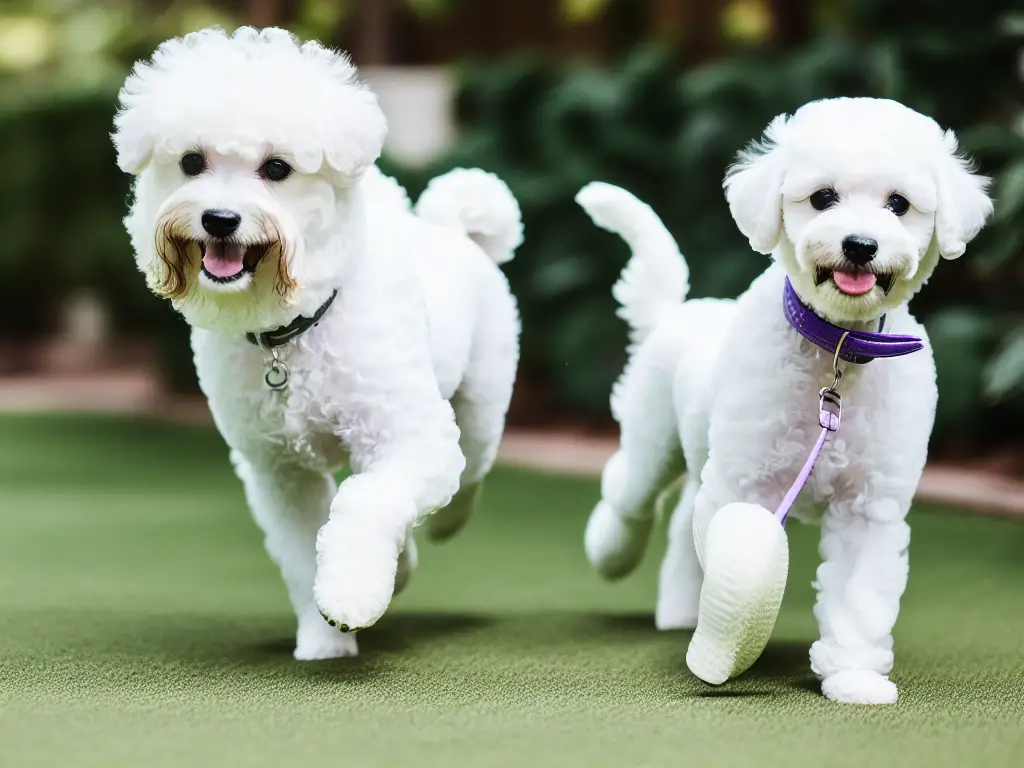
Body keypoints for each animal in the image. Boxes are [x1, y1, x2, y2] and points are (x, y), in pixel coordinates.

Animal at [114, 27, 520, 659]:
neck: (293, 331)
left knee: (468, 476)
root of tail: (452, 232)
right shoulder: (280, 472)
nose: (220, 218)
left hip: (477, 411)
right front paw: (324, 638)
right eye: (191, 163)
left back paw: (441, 526)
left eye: (277, 168)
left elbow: (364, 503)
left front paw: (350, 596)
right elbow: (305, 548)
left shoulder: (408, 438)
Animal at [577, 99, 991, 708]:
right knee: (628, 493)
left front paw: (853, 676)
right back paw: (612, 552)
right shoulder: (745, 486)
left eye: (898, 204)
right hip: (654, 441)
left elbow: (858, 600)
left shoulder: (869, 507)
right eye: (822, 197)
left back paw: (679, 611)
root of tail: (680, 310)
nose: (860, 244)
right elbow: (733, 561)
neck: (836, 348)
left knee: (680, 525)